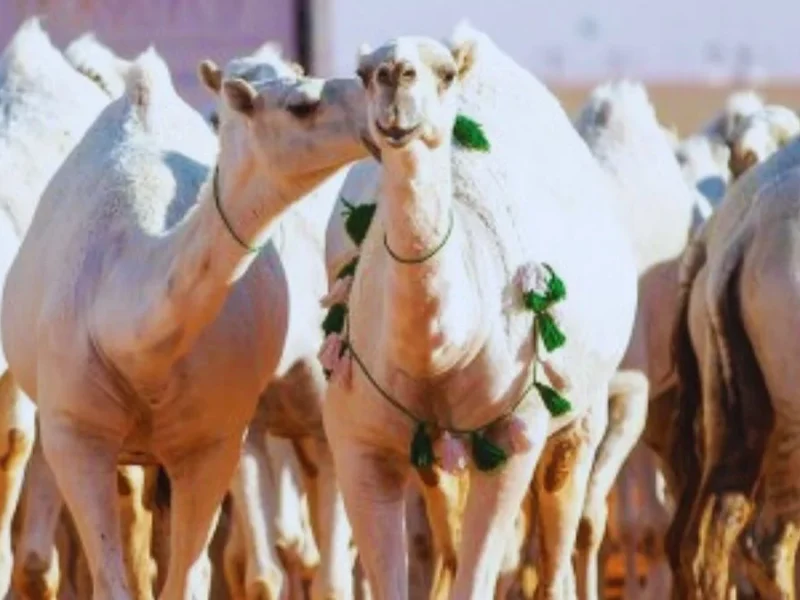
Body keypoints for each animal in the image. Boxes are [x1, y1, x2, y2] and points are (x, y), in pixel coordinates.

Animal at [318, 22, 636, 596]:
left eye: (444, 74)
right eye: (363, 73)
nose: (395, 75)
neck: (444, 351)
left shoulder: (512, 437)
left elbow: (482, 575)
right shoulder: (357, 437)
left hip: (581, 415)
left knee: (557, 537)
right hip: (432, 451)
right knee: (443, 542)